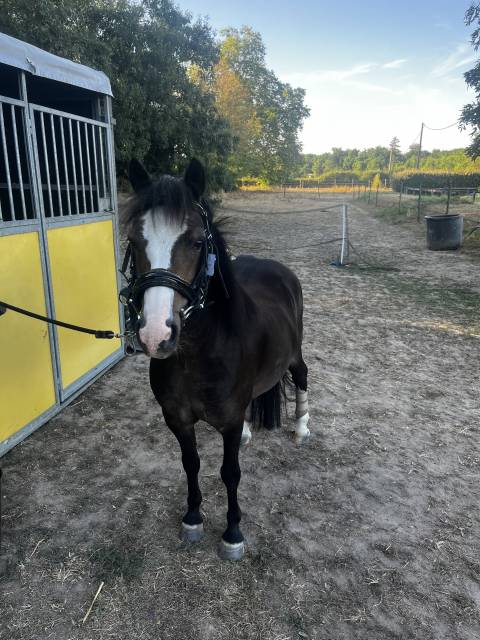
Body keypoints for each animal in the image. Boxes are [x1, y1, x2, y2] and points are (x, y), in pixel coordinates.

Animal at [122, 158, 310, 560]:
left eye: (196, 241)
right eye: (134, 241)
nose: (156, 334)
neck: (198, 355)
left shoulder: (228, 421)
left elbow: (229, 473)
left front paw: (233, 533)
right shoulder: (177, 418)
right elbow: (190, 462)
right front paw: (193, 517)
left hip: (294, 353)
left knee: (303, 375)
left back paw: (302, 428)